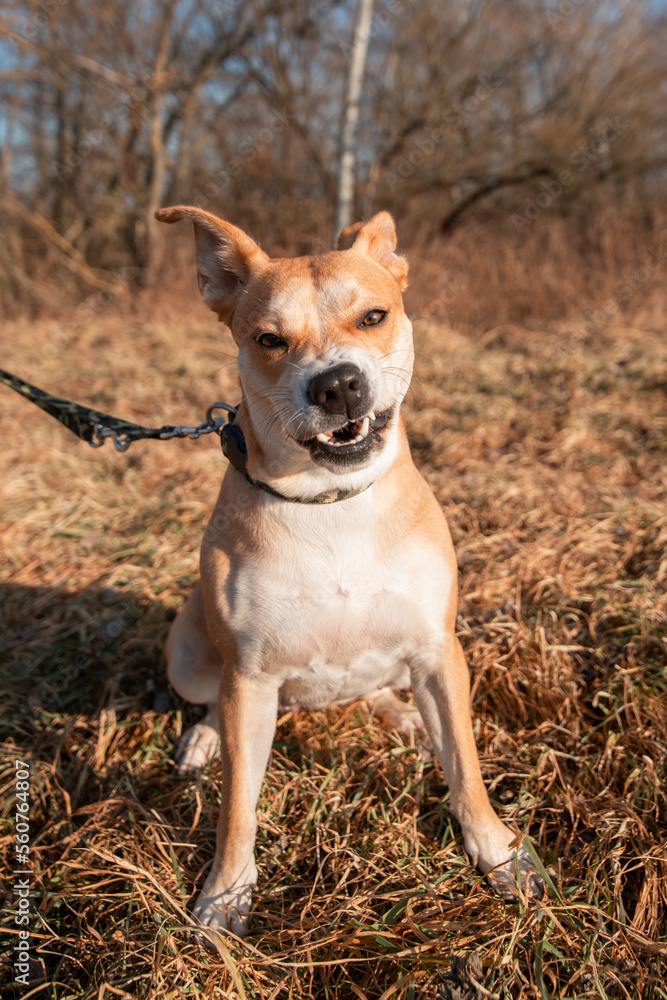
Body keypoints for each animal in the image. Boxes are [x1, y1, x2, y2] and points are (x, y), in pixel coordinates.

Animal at [158, 205, 548, 936]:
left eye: (372, 316)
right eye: (269, 339)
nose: (337, 384)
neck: (329, 501)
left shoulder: (438, 649)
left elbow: (467, 769)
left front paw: (499, 855)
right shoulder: (249, 677)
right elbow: (236, 805)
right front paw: (225, 894)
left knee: (380, 692)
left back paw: (405, 718)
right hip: (189, 653)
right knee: (207, 702)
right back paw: (202, 740)